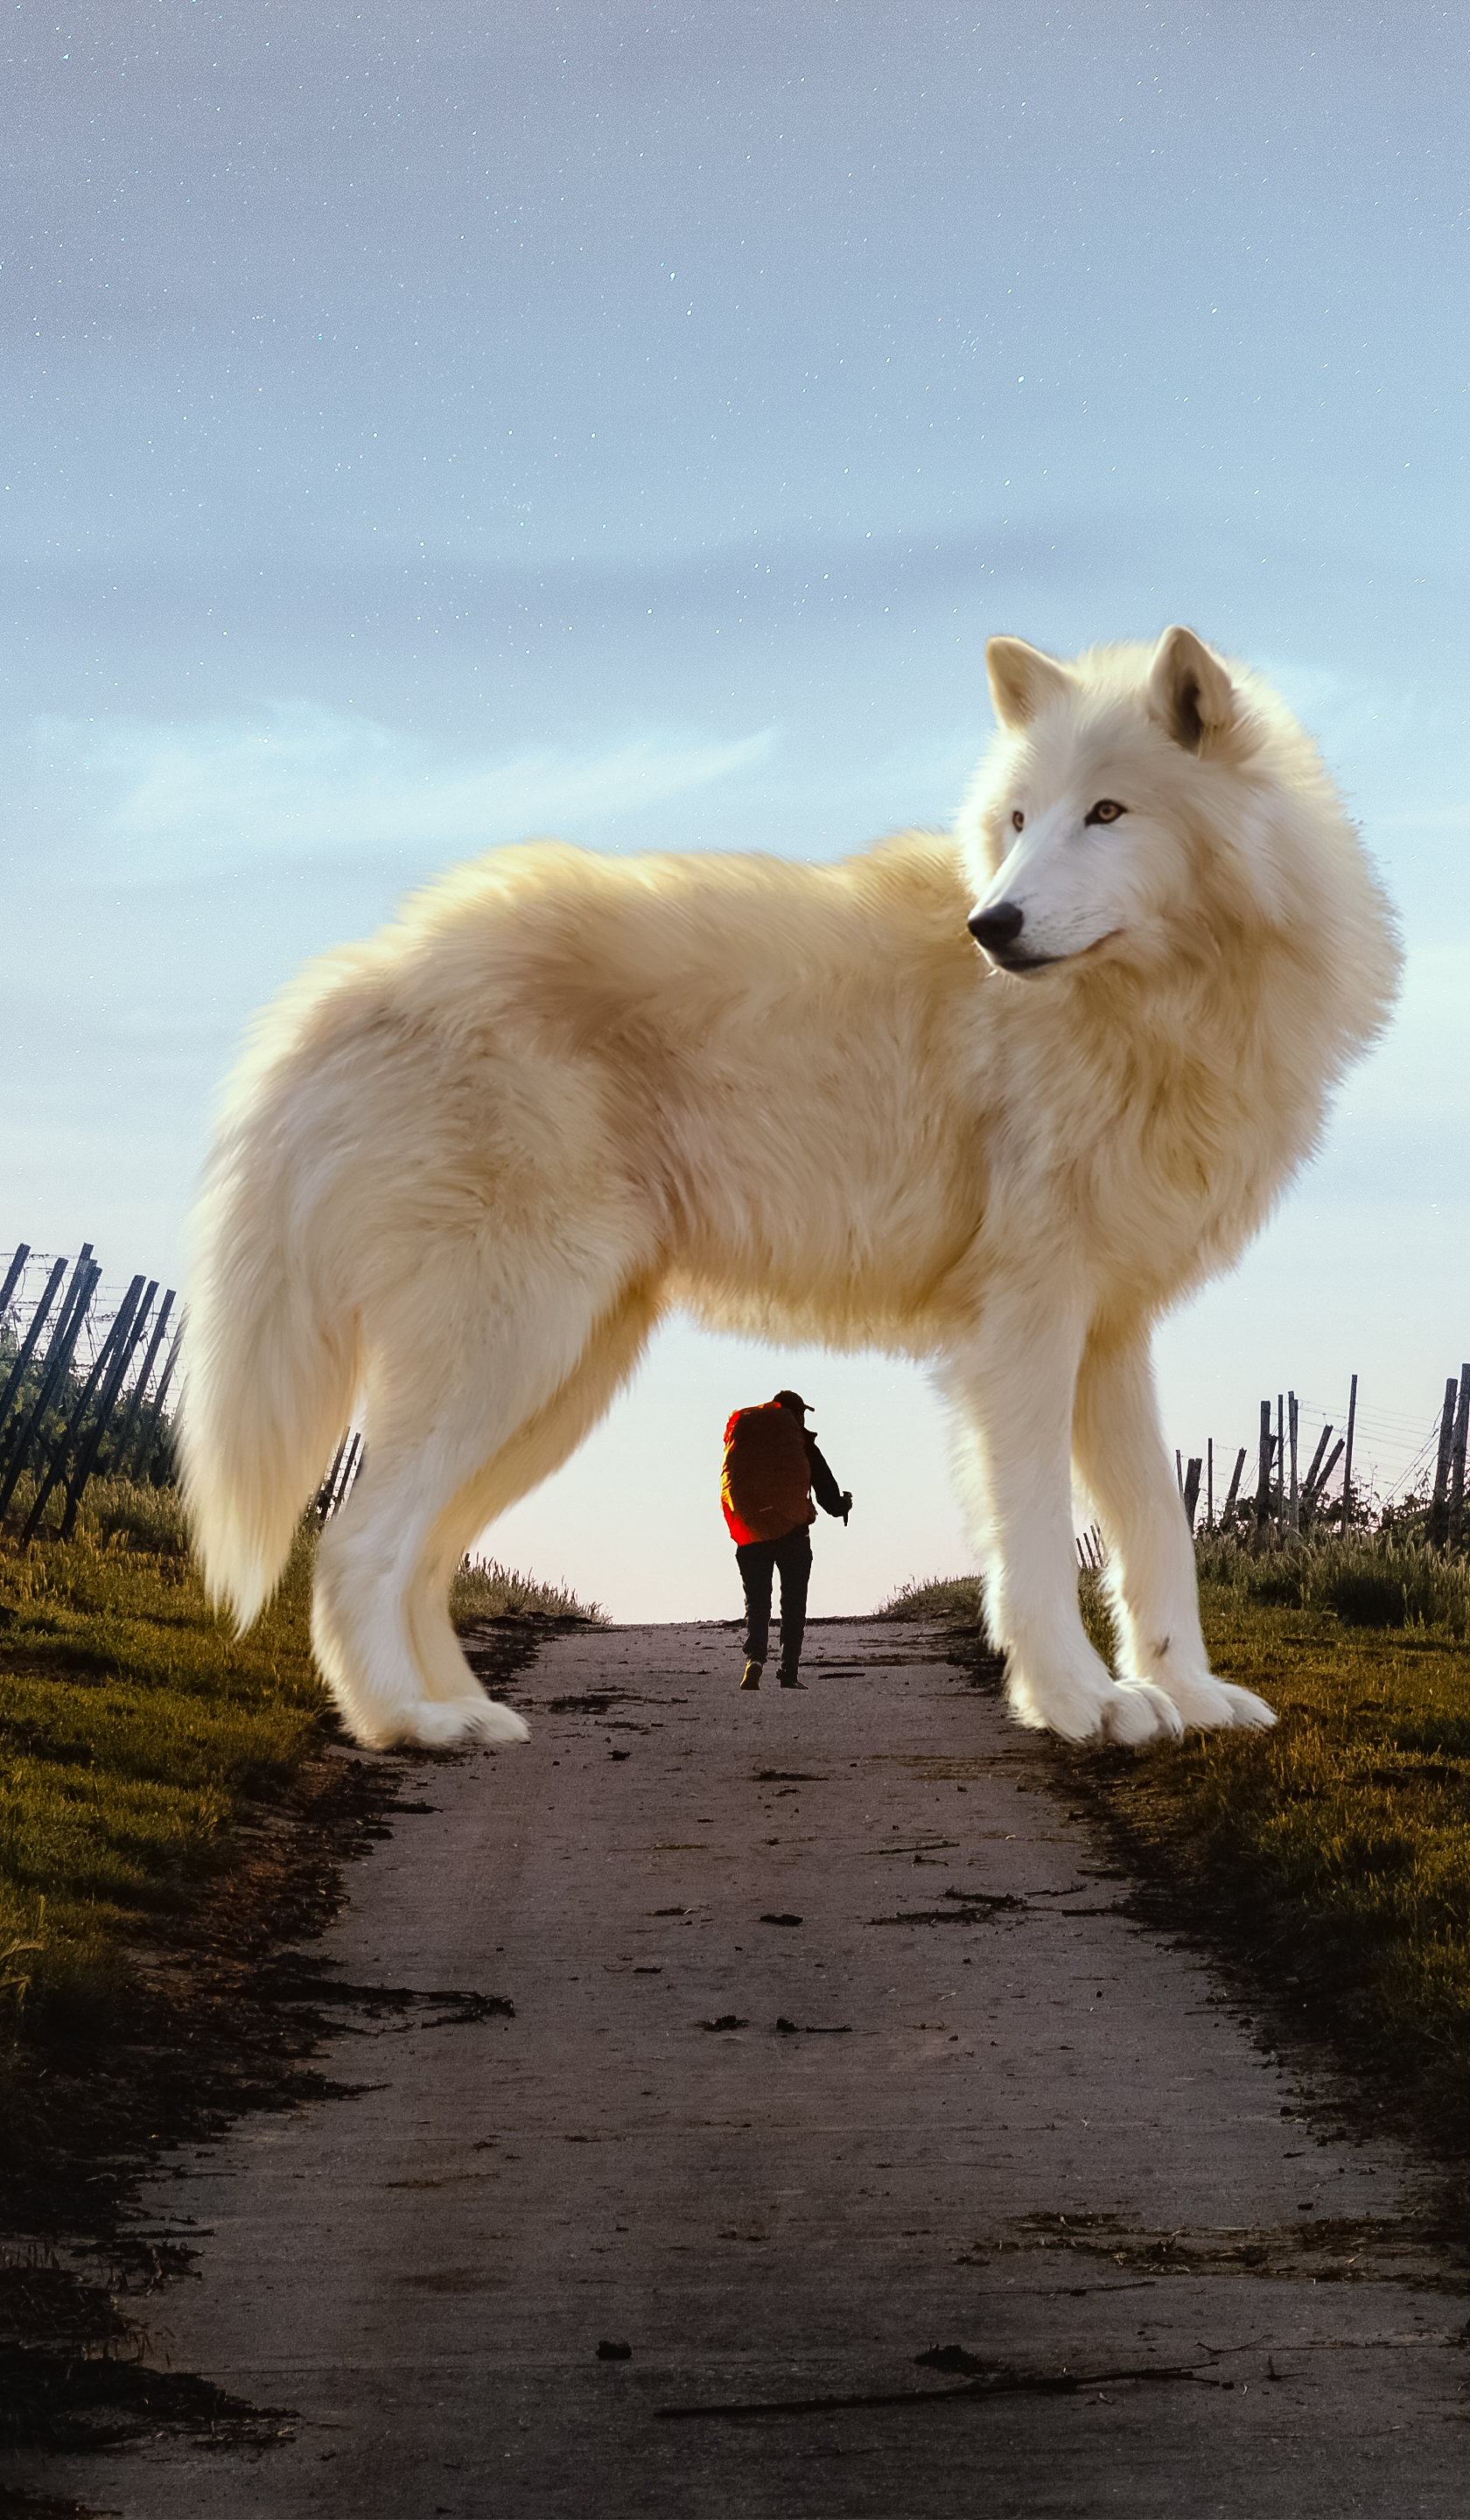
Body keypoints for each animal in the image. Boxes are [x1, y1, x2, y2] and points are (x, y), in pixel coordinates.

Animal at [182, 626, 1400, 1751]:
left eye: (1106, 812)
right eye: (1018, 821)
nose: (991, 927)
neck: (1159, 1013)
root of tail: (356, 977)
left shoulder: (1110, 1330)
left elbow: (1156, 1530)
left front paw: (1187, 1697)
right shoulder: (1022, 1330)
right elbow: (1041, 1540)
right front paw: (1078, 1705)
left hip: (555, 1381)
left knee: (423, 1552)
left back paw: (463, 1710)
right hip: (512, 1351)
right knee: (356, 1545)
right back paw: (408, 1726)